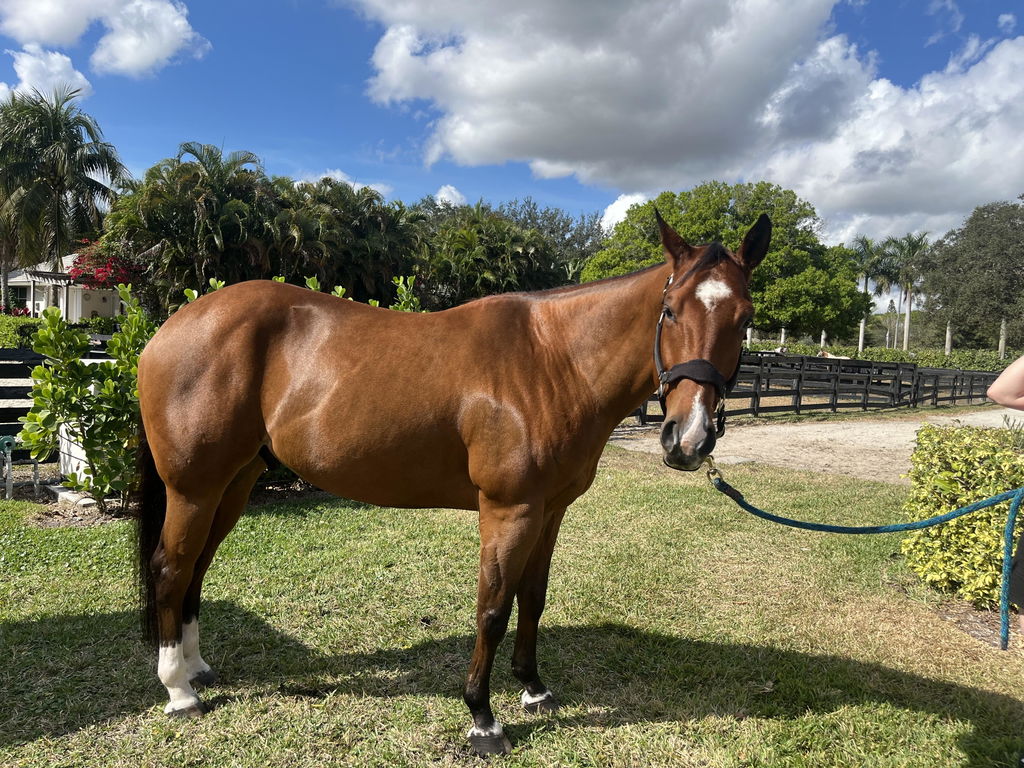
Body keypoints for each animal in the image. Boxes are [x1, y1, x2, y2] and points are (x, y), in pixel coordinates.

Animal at [135, 211, 770, 756]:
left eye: (744, 320)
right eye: (671, 311)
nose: (688, 439)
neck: (552, 360)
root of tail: (169, 328)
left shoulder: (550, 510)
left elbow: (533, 599)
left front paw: (534, 689)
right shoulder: (509, 510)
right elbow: (492, 607)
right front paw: (483, 719)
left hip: (234, 483)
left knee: (197, 568)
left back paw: (195, 668)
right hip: (194, 488)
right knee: (170, 567)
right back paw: (178, 690)